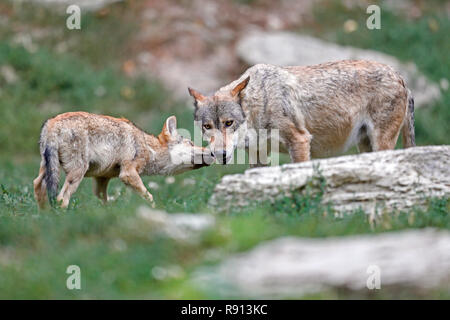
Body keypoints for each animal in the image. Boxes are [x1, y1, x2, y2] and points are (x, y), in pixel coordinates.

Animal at [187, 60, 414, 165]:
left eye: (228, 123)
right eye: (207, 127)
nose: (220, 154)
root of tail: (400, 76)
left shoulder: (300, 141)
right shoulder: (258, 155)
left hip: (380, 143)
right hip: (365, 146)